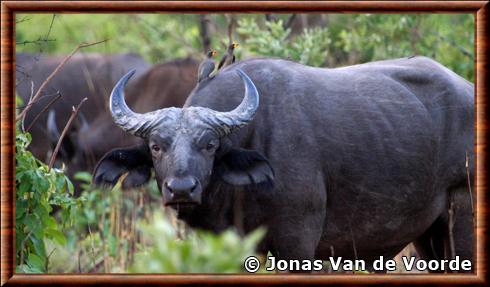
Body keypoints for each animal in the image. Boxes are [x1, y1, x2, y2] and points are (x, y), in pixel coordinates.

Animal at [94, 56, 472, 272]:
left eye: (210, 145)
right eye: (156, 146)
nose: (182, 189)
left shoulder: (299, 243)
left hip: (462, 217)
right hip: (428, 234)